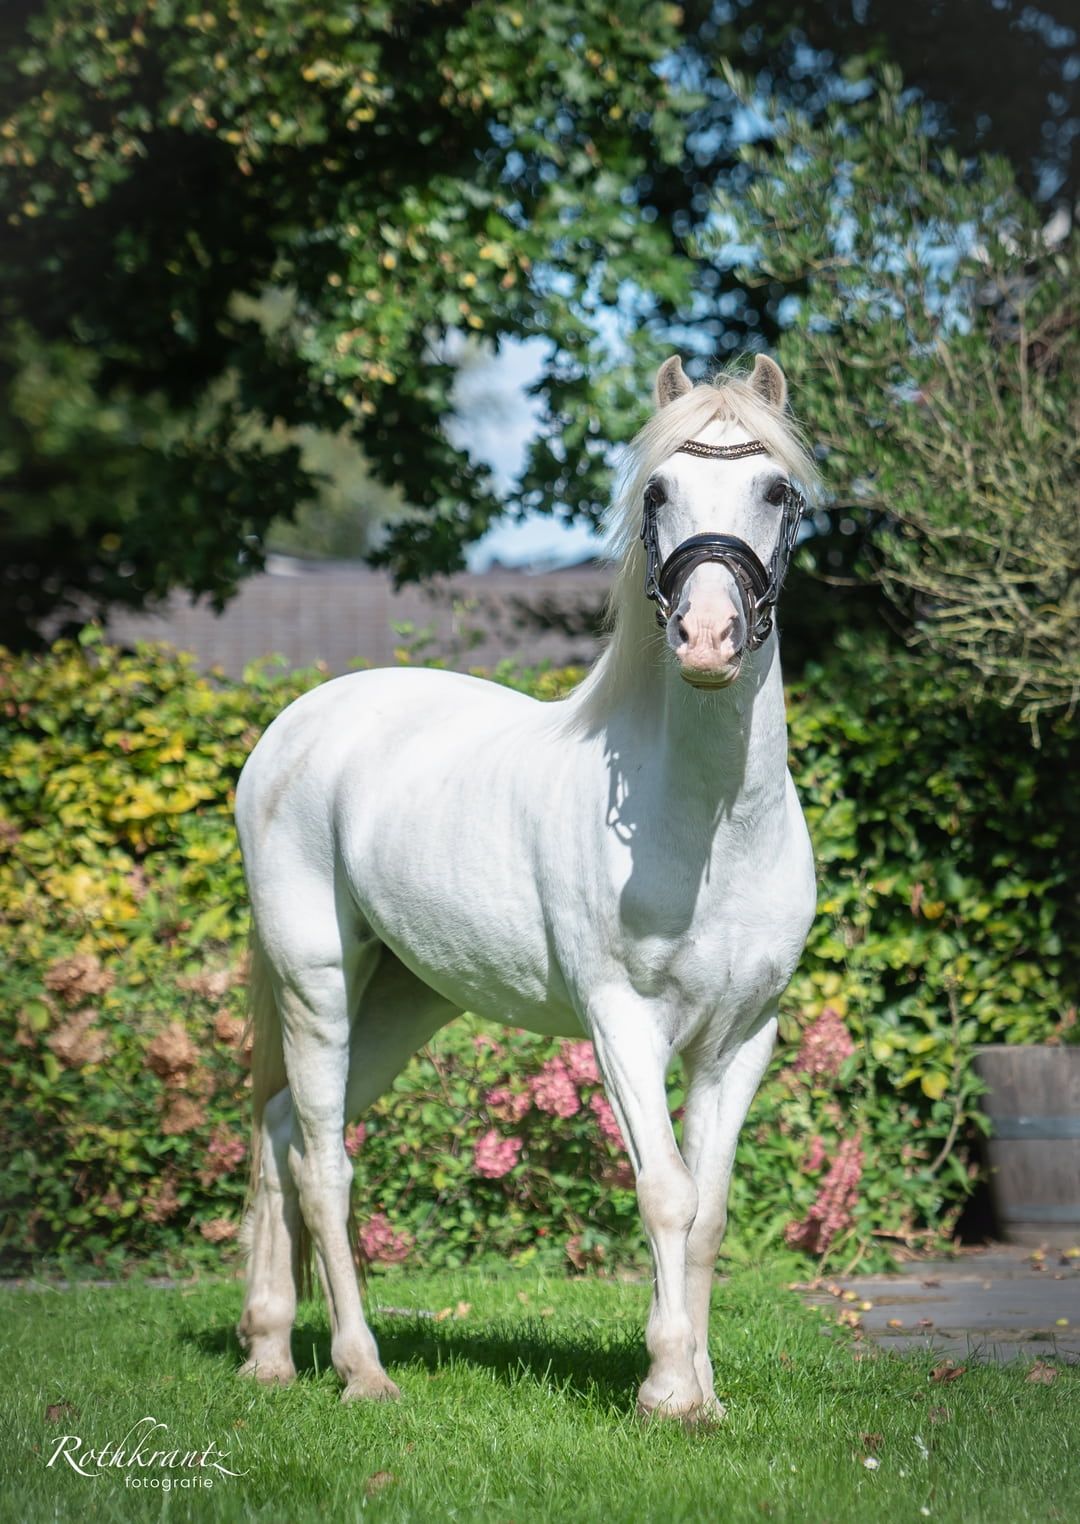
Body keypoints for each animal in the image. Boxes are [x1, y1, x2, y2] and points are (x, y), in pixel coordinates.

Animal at [235, 353, 819, 1419]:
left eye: (775, 491)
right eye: (657, 492)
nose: (709, 640)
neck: (712, 828)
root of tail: (297, 724)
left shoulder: (742, 1037)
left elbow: (710, 1213)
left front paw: (703, 1397)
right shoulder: (622, 1022)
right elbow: (666, 1192)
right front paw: (666, 1389)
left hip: (404, 1000)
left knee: (281, 1127)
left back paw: (267, 1352)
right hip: (318, 984)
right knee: (323, 1162)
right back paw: (362, 1371)